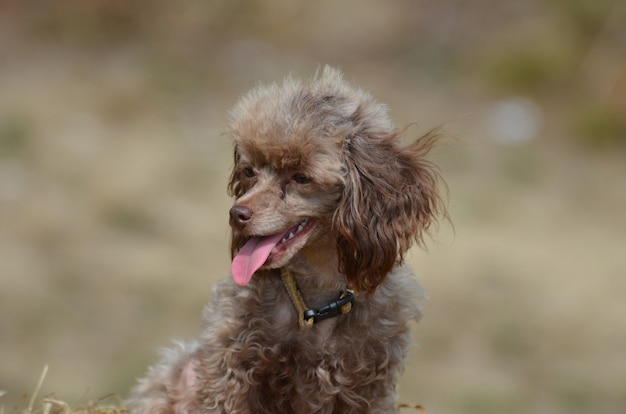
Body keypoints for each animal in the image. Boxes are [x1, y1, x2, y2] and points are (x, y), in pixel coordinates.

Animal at [128, 66, 444, 412]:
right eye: (250, 172)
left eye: (301, 178)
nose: (236, 214)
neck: (317, 301)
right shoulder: (230, 364)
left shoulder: (370, 384)